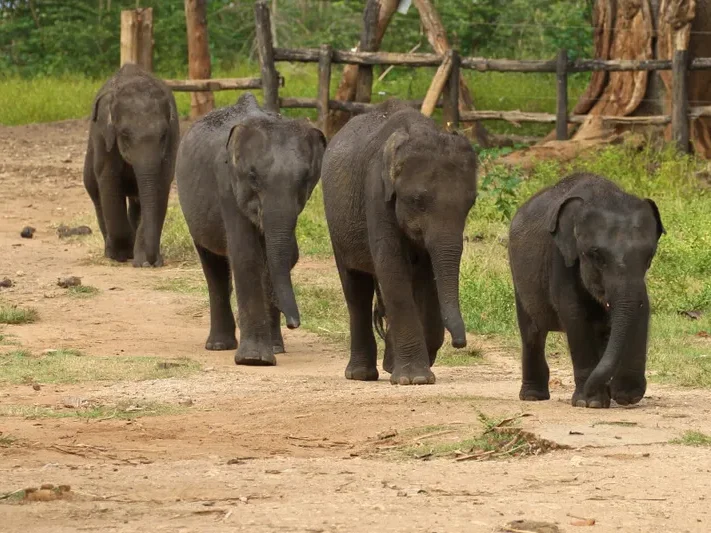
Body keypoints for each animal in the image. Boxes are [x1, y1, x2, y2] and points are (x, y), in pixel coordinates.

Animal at [83, 63, 179, 267]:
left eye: (163, 135)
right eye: (124, 135)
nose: (153, 260)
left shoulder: (173, 139)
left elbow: (161, 183)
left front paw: (144, 262)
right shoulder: (103, 137)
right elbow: (109, 181)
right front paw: (122, 254)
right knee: (97, 196)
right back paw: (110, 251)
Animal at [175, 92, 326, 365]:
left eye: (305, 179)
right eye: (253, 177)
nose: (294, 324)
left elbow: (277, 257)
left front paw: (268, 352)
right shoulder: (226, 185)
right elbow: (246, 254)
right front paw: (255, 360)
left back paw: (275, 347)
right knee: (213, 266)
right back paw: (218, 346)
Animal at [321, 100, 478, 385]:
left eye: (471, 203)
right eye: (417, 201)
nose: (460, 343)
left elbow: (428, 275)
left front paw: (412, 370)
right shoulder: (375, 192)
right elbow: (391, 267)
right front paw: (414, 378)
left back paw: (388, 365)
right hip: (336, 222)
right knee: (356, 288)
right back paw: (361, 375)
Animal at [508, 173, 665, 408]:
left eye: (649, 256)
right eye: (596, 255)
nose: (624, 394)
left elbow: (641, 308)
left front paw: (624, 396)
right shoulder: (560, 257)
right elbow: (574, 314)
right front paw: (590, 402)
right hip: (519, 277)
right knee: (532, 332)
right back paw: (533, 396)